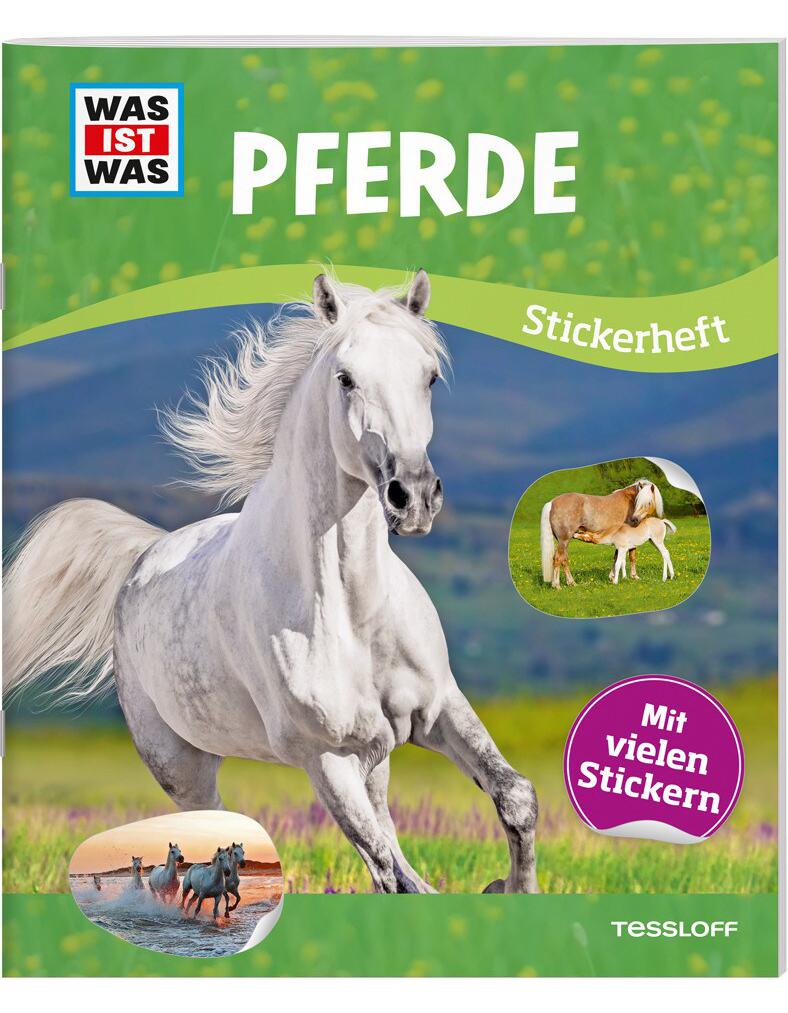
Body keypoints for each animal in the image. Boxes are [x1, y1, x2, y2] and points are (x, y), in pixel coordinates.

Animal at [4, 270, 538, 895]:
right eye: (345, 378)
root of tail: (144, 555)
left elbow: (514, 798)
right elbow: (386, 869)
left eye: (428, 375)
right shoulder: (324, 757)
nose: (413, 497)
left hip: (375, 755)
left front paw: (511, 889)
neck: (351, 614)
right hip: (184, 764)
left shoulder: (438, 707)